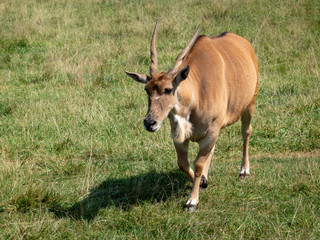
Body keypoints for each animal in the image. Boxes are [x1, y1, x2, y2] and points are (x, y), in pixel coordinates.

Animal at [126, 21, 258, 211]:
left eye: (168, 89)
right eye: (146, 89)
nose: (150, 122)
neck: (196, 93)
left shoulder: (211, 132)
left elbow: (198, 164)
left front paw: (192, 201)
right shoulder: (180, 138)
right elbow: (184, 163)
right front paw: (203, 181)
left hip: (250, 105)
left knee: (246, 132)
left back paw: (244, 171)